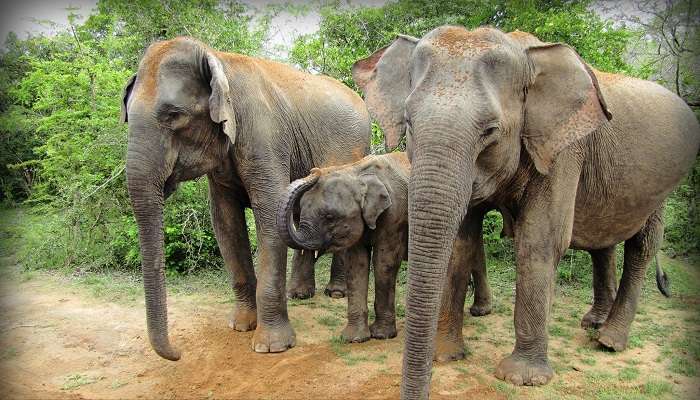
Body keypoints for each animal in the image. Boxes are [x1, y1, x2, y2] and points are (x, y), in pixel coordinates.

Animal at [123, 36, 372, 360]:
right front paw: (241, 326)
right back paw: (299, 294)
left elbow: (269, 214)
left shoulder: (265, 138)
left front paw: (271, 347)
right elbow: (225, 222)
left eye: (174, 116)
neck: (218, 59)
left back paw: (336, 293)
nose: (178, 354)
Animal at [274, 152, 492, 346]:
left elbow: (384, 263)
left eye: (329, 217)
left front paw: (382, 335)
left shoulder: (395, 215)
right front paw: (354, 339)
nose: (315, 171)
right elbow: (357, 265)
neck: (357, 172)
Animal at [352, 25, 700, 396]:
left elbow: (540, 241)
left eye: (490, 131)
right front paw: (445, 355)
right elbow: (461, 242)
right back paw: (593, 323)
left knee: (642, 245)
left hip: (663, 184)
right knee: (602, 241)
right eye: (408, 123)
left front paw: (522, 378)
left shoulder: (562, 149)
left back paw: (608, 341)